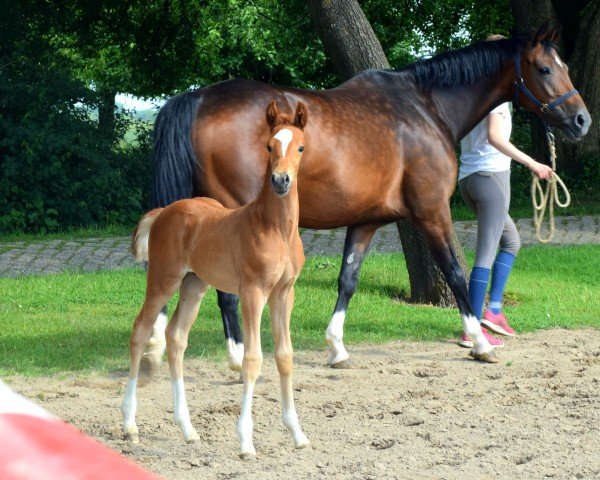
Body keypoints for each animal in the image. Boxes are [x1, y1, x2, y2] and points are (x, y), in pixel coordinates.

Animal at [120, 103, 312, 460]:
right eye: (268, 146)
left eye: (301, 147)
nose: (281, 181)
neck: (274, 228)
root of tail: (164, 211)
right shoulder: (253, 292)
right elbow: (253, 359)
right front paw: (246, 442)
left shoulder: (284, 293)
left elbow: (285, 356)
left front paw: (297, 434)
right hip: (164, 279)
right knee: (141, 330)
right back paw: (129, 424)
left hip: (194, 285)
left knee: (176, 338)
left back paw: (188, 429)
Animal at [146, 25, 592, 368]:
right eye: (544, 68)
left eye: (565, 66)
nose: (581, 120)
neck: (425, 107)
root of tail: (198, 98)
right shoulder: (432, 212)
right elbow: (454, 272)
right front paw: (480, 343)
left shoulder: (365, 221)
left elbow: (348, 279)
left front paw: (337, 348)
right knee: (225, 290)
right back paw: (239, 357)